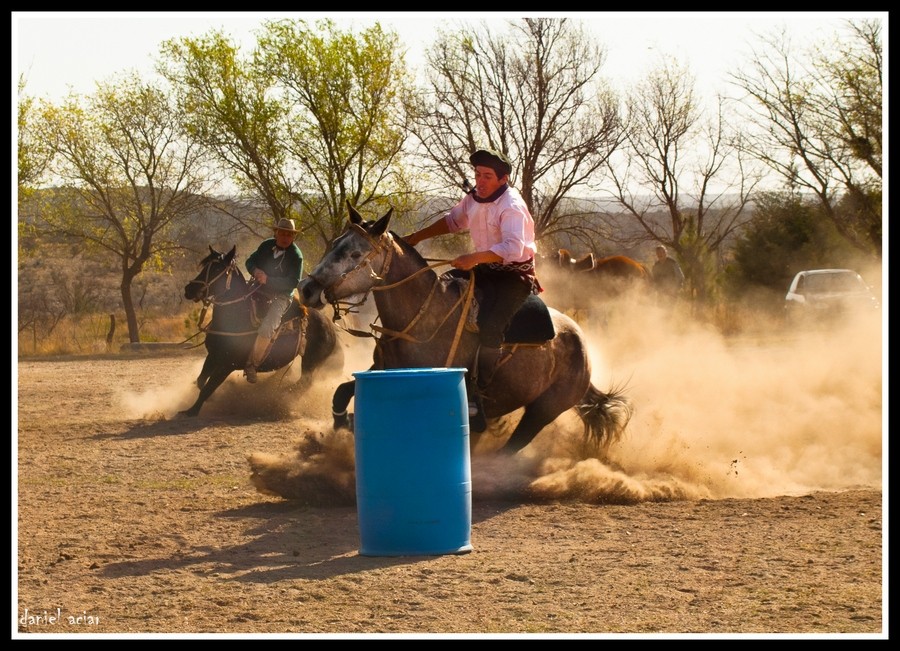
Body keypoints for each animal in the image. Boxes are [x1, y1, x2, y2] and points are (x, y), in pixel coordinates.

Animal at [179, 244, 344, 418]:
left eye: (217, 268)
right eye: (205, 266)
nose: (189, 289)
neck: (237, 315)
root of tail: (330, 326)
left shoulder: (227, 365)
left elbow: (207, 388)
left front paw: (192, 411)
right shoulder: (213, 356)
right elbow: (201, 382)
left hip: (311, 361)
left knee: (305, 383)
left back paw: (281, 396)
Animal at [298, 206, 628, 456]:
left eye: (355, 254)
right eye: (335, 243)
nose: (306, 289)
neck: (422, 316)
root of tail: (581, 344)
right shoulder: (381, 371)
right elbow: (341, 393)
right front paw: (341, 426)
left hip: (544, 410)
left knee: (513, 446)